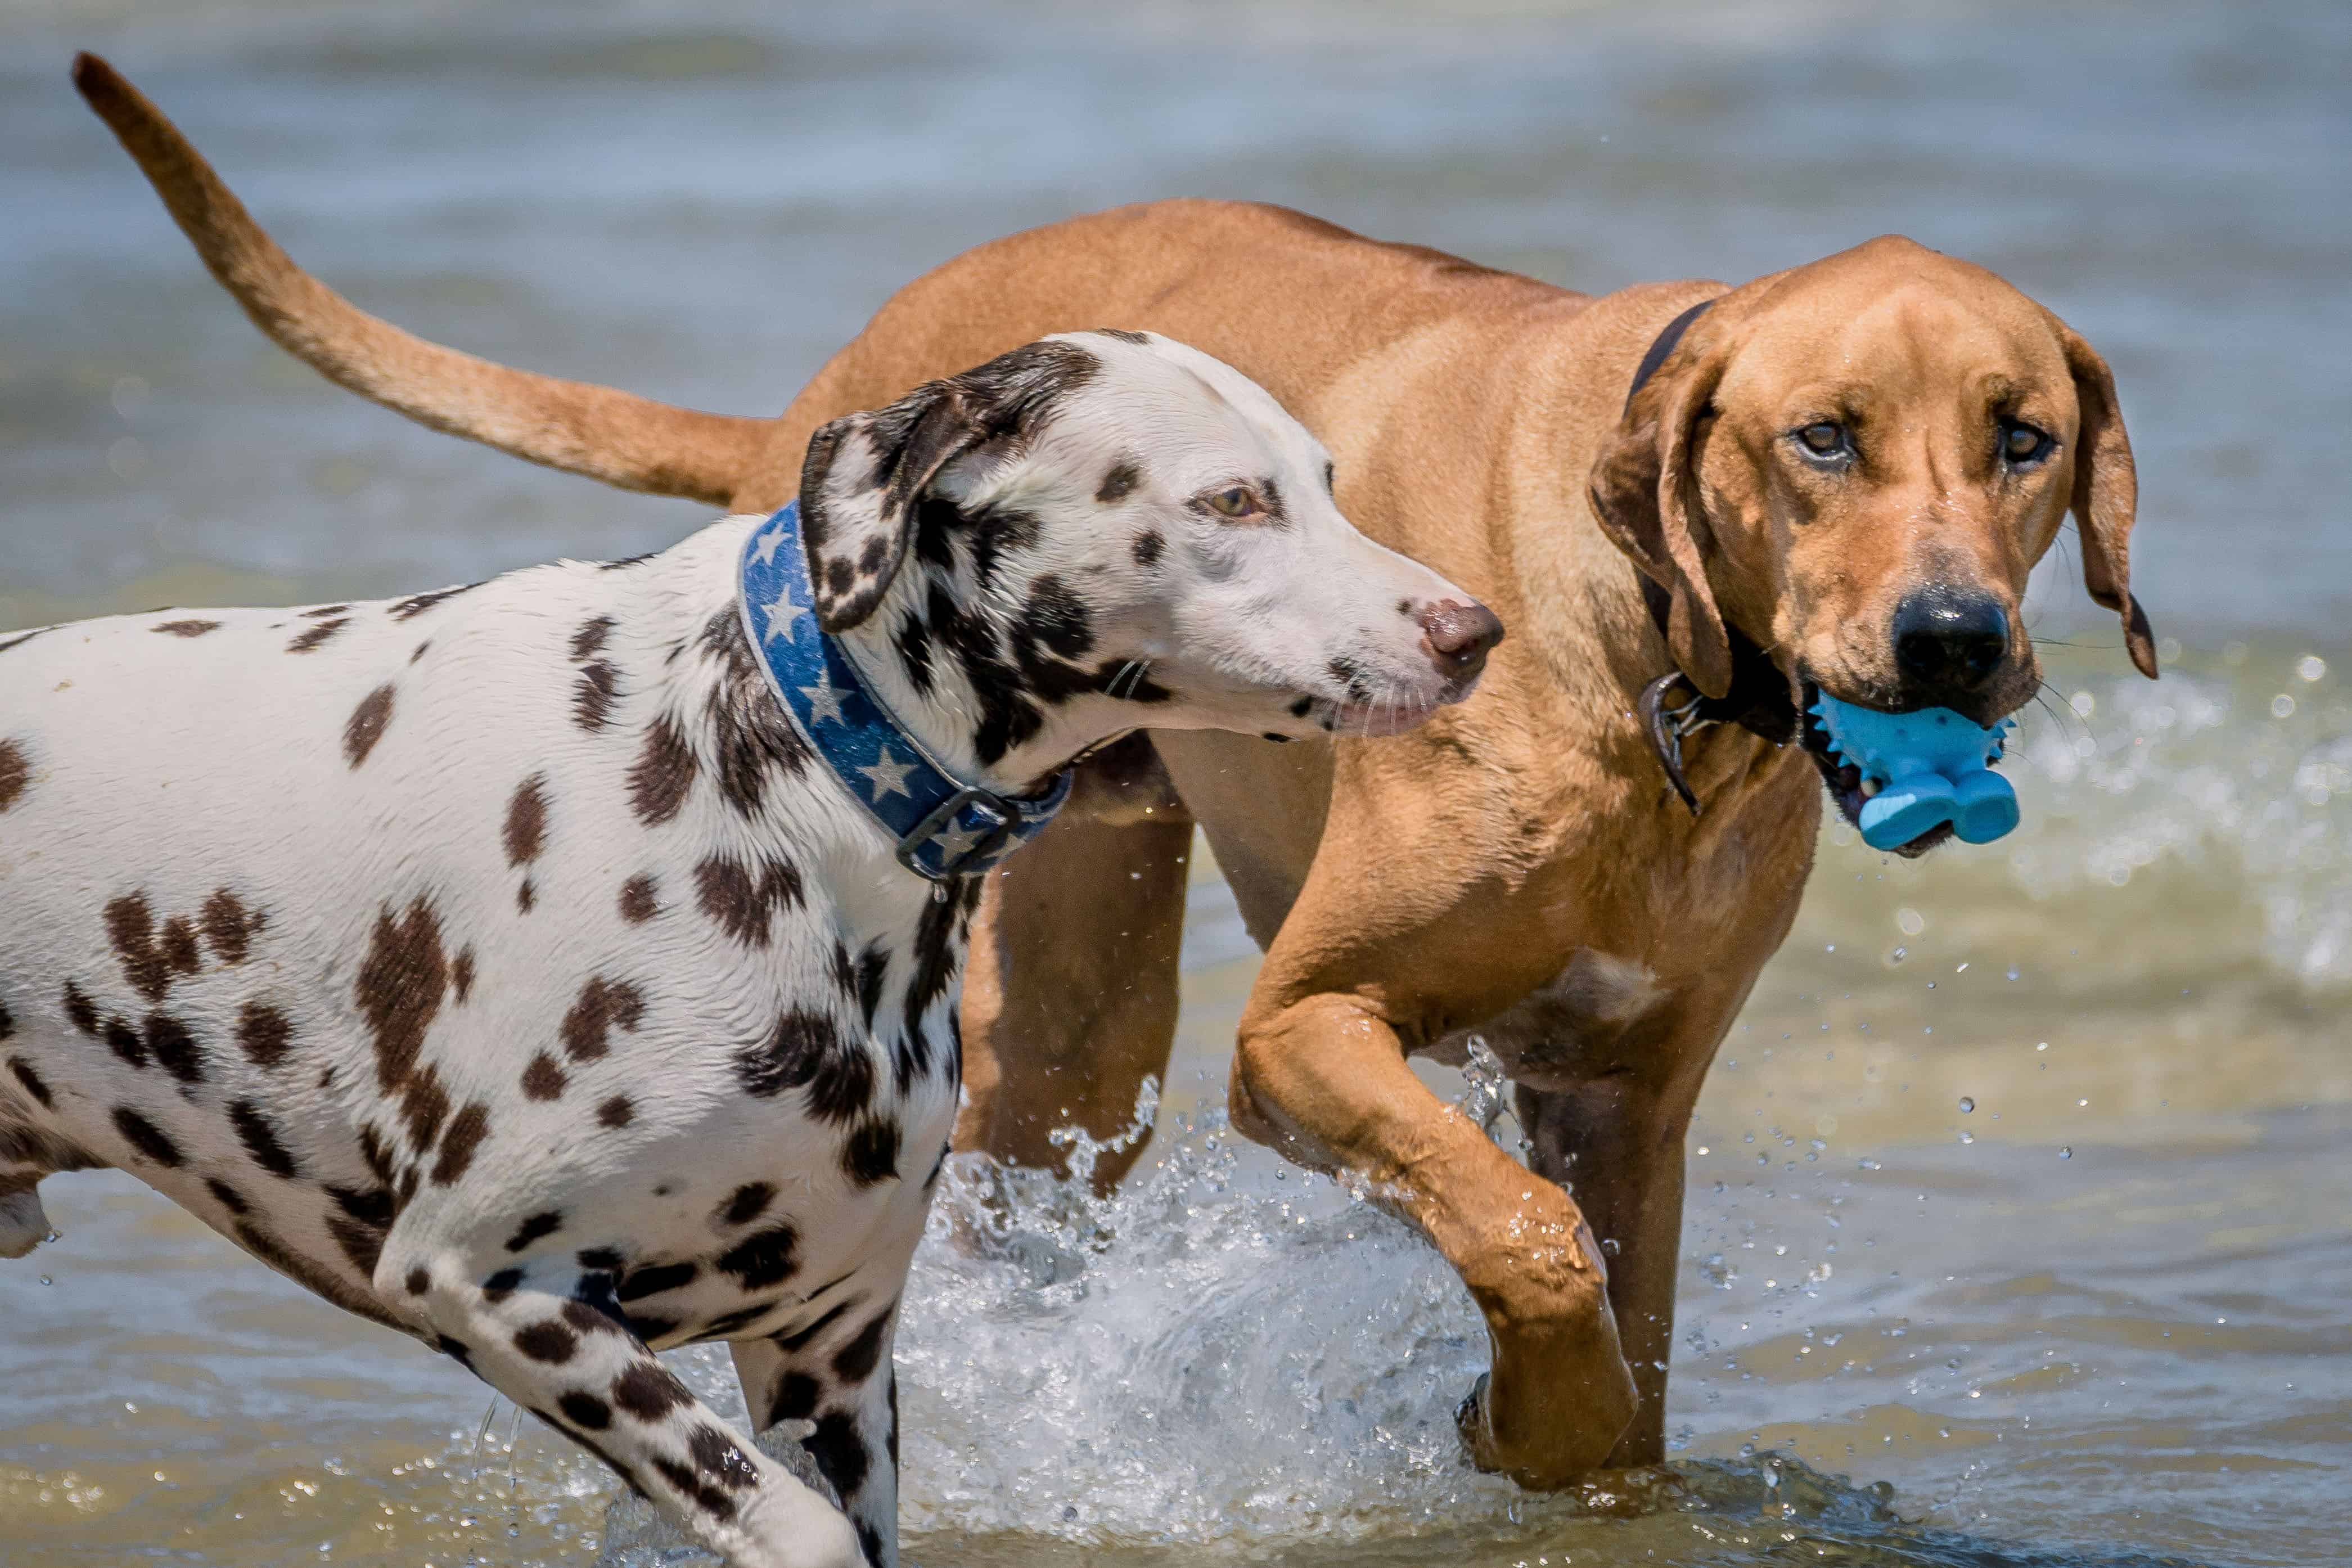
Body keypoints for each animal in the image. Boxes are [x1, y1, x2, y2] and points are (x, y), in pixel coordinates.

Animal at [0, 334, 1505, 1568]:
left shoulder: (828, 1354)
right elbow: (790, 1527)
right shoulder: (492, 1283)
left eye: (1326, 479)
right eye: (1232, 502)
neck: (782, 766)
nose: (1474, 630)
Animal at [78, 58, 2154, 1485]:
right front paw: (1530, 1411)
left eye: (2022, 436)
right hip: (1075, 1021)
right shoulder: (1305, 1034)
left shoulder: (1629, 1096)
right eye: (1821, 438)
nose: (1952, 638)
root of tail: (844, 387)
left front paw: (1568, 1450)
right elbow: (1523, 1236)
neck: (1663, 689)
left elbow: (1606, 1285)